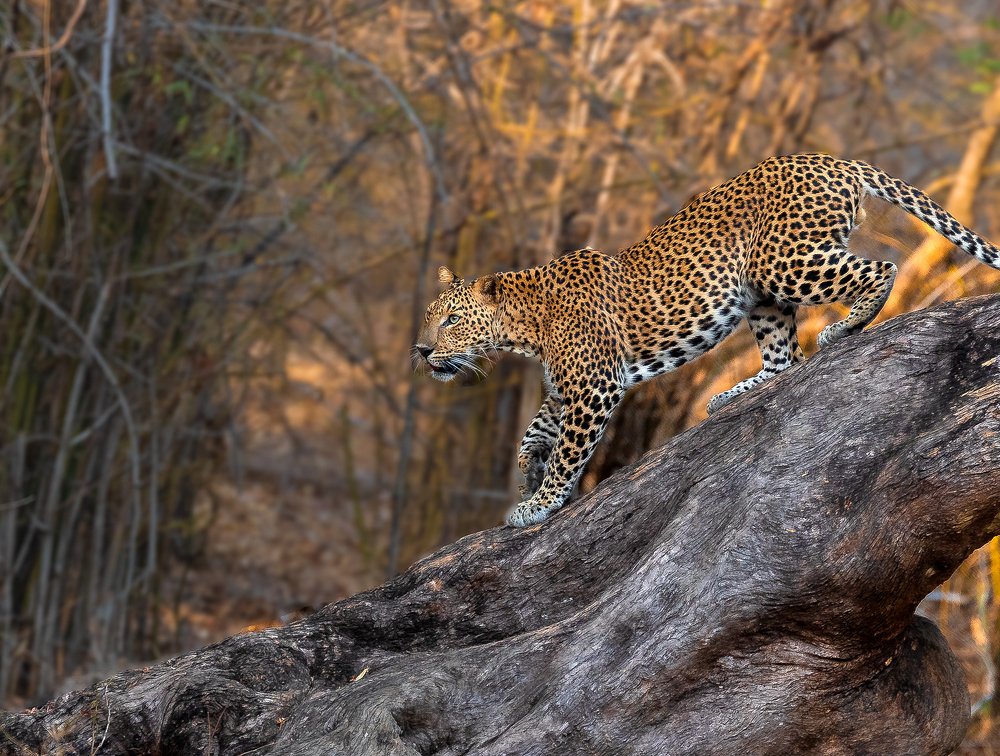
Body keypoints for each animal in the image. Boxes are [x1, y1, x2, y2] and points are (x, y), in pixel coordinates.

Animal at [414, 153, 1000, 528]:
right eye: (428, 319)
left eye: (450, 321)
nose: (420, 351)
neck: (524, 326)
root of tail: (834, 160)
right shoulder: (566, 391)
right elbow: (534, 432)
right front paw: (527, 472)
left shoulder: (594, 387)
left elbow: (568, 453)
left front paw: (540, 503)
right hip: (761, 294)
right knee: (784, 359)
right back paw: (733, 395)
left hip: (785, 261)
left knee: (881, 267)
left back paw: (846, 325)